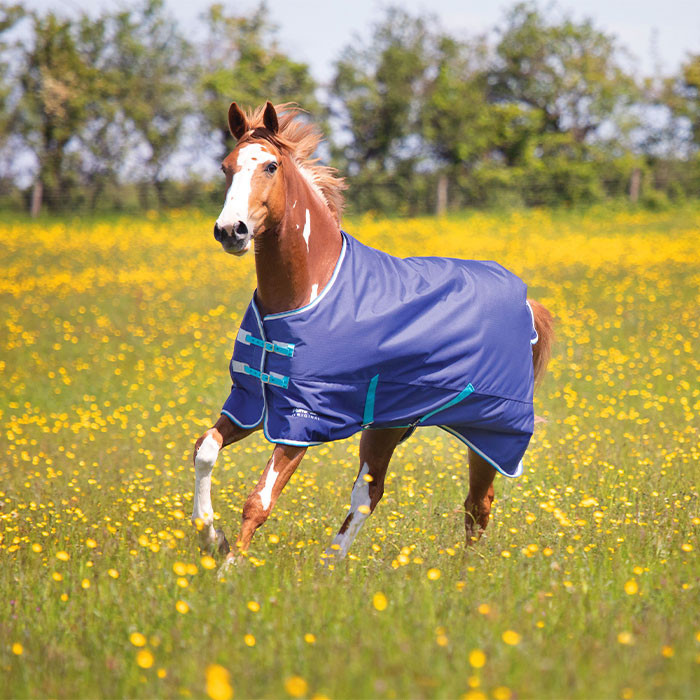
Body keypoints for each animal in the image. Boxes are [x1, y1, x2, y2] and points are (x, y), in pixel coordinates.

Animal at [191, 101, 554, 573]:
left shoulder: (302, 419)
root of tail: (526, 301)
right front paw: (210, 537)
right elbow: (204, 448)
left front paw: (228, 570)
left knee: (478, 503)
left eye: (270, 166)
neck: (307, 291)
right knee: (371, 492)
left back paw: (464, 572)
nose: (230, 230)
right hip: (389, 422)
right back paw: (329, 566)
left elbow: (260, 500)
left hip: (489, 429)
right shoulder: (251, 401)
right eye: (225, 167)